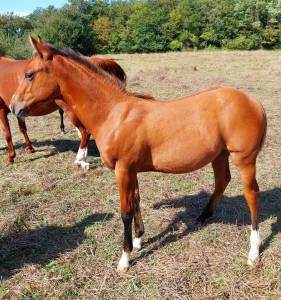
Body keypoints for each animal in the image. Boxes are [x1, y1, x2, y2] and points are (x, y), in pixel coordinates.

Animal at [9, 38, 266, 274]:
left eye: (29, 74)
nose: (14, 107)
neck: (114, 113)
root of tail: (254, 102)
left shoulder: (122, 169)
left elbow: (125, 212)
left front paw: (125, 258)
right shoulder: (131, 170)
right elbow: (136, 201)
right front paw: (138, 240)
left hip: (244, 159)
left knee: (251, 194)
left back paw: (253, 251)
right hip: (219, 154)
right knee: (222, 181)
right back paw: (203, 217)